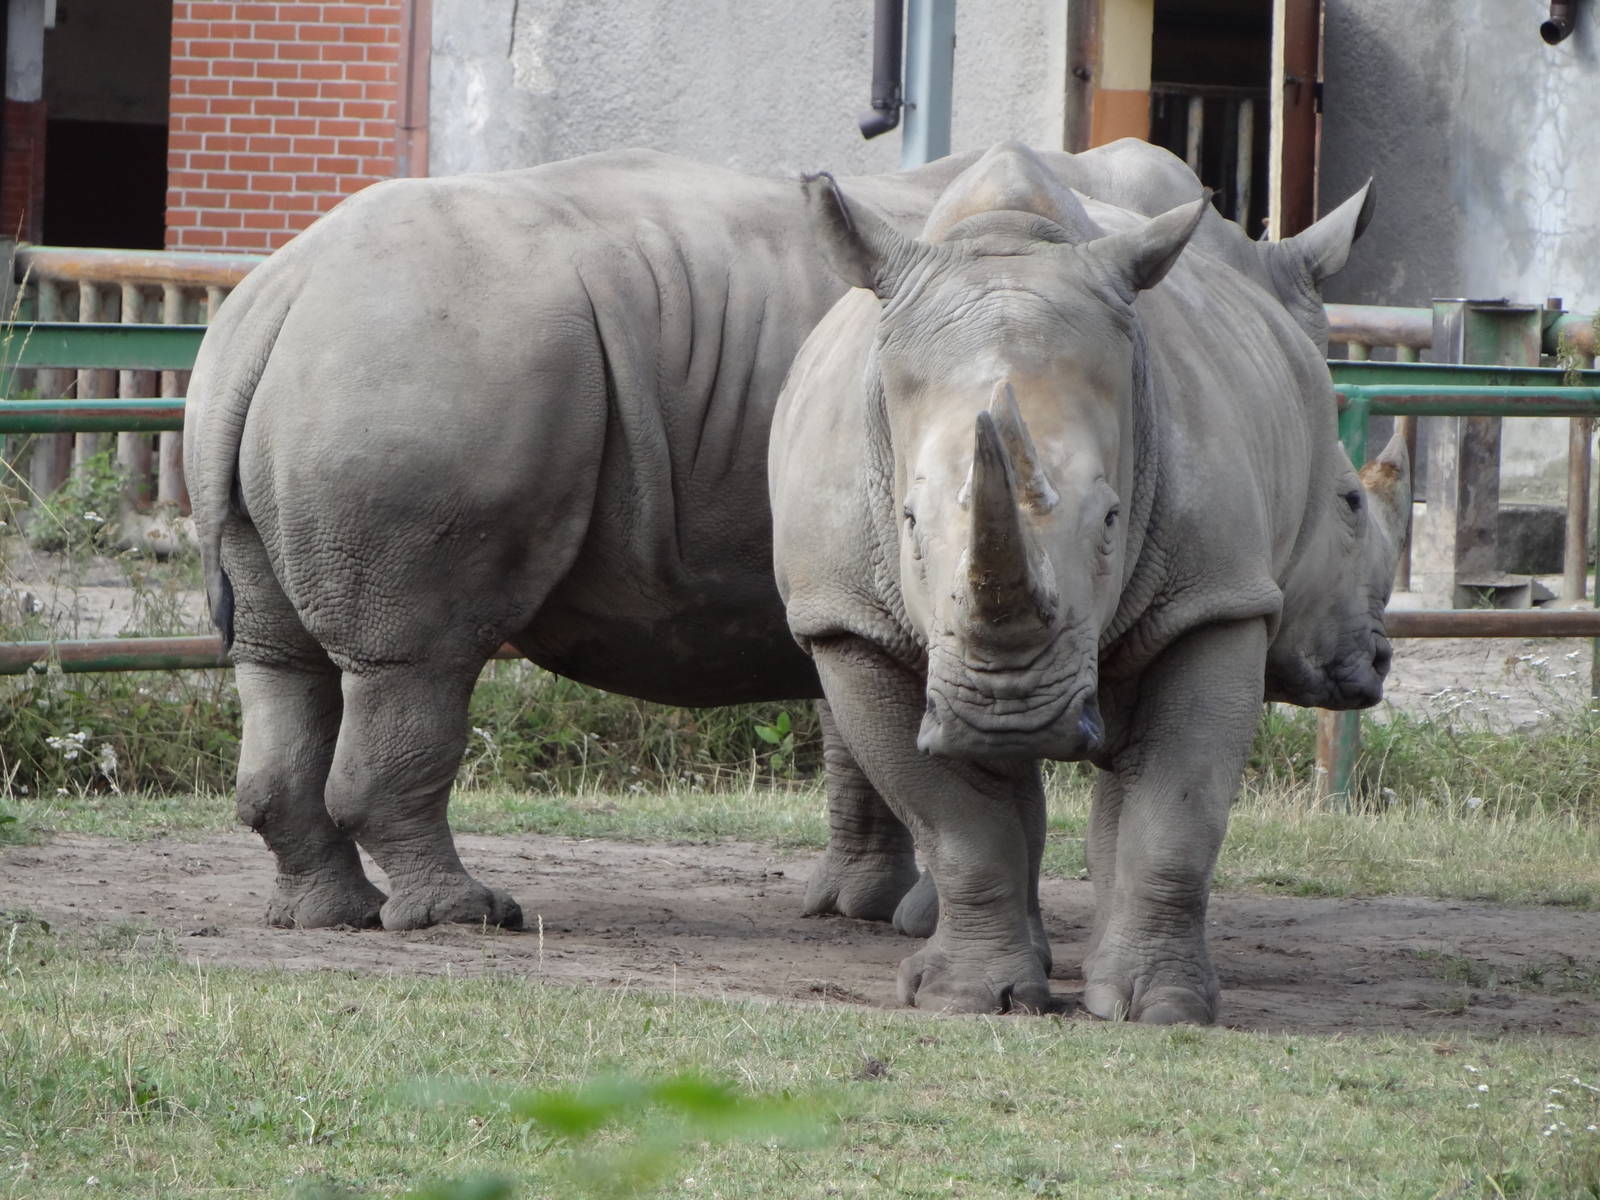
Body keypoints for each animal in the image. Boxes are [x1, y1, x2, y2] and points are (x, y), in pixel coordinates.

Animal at [184, 142, 1375, 935]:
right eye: (1355, 505)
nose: (1366, 667)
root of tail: (273, 294)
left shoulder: (865, 574)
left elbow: (862, 749)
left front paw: (860, 906)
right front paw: (921, 913)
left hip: (327, 365)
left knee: (282, 661)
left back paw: (326, 917)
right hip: (432, 365)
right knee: (422, 656)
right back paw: (467, 917)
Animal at [768, 142, 1409, 1021]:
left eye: (1110, 519)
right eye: (906, 522)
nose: (1010, 713)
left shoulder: (1214, 598)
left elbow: (1174, 814)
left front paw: (1160, 1008)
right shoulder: (850, 622)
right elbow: (957, 823)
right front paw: (971, 998)